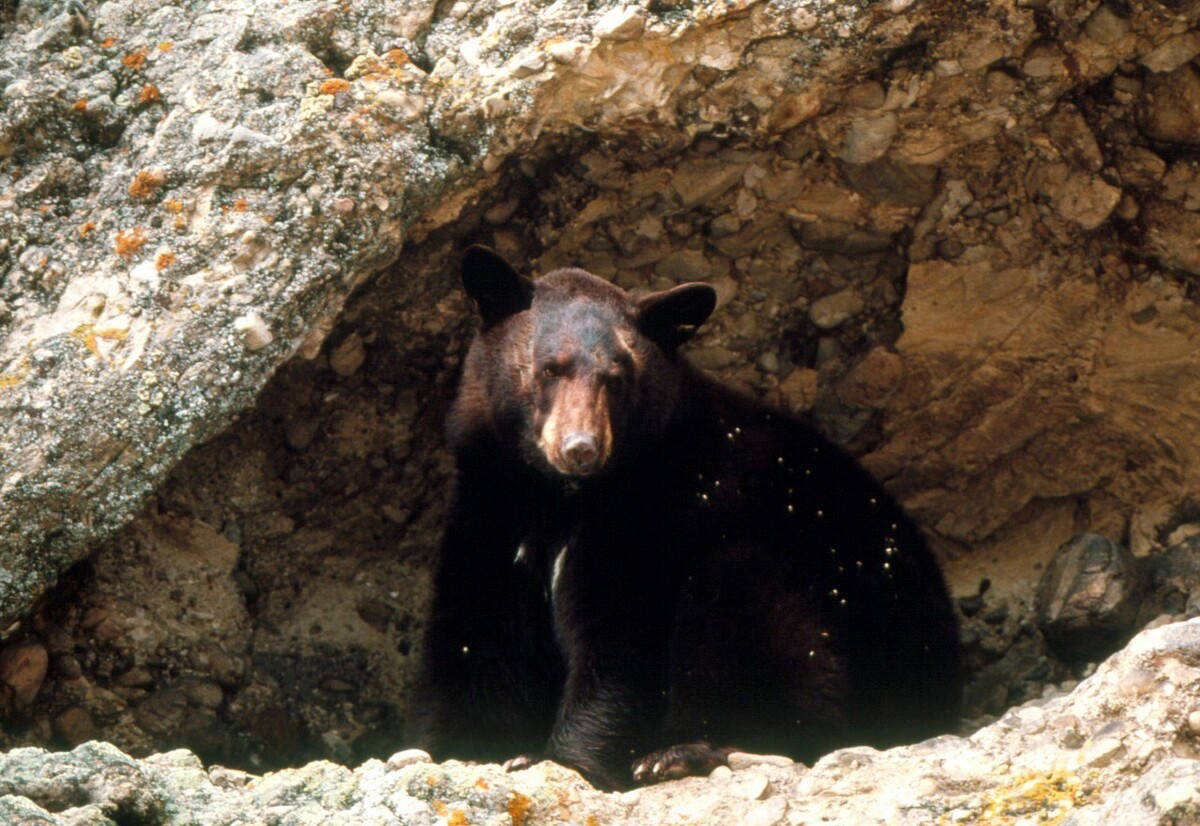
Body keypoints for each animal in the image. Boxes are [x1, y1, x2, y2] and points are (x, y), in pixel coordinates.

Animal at [408, 243, 960, 787]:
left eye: (617, 378)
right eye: (549, 368)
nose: (582, 448)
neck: (558, 497)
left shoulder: (654, 516)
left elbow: (620, 644)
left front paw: (562, 758)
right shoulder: (494, 512)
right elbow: (479, 640)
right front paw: (469, 749)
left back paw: (681, 753)